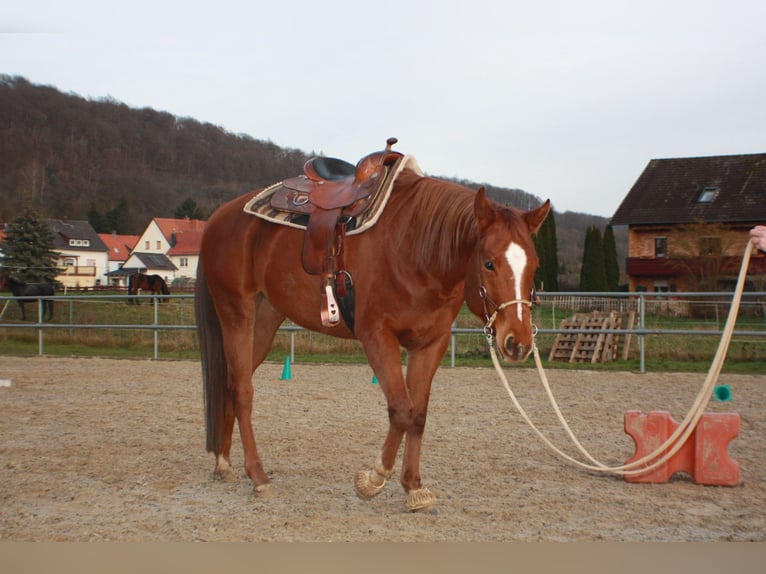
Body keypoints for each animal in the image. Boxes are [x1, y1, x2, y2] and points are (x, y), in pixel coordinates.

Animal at [195, 158, 550, 512]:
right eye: (489, 263)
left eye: (534, 265)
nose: (518, 342)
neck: (416, 249)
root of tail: (218, 218)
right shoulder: (378, 337)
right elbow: (401, 409)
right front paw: (373, 479)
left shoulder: (430, 344)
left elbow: (418, 414)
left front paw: (413, 487)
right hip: (236, 313)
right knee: (242, 390)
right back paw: (258, 477)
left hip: (266, 319)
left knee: (231, 383)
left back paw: (224, 463)